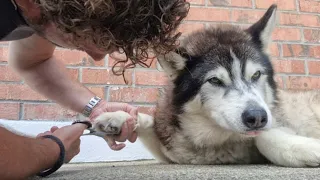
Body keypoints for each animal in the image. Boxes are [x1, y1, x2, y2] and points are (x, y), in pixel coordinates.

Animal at [92, 4, 320, 167]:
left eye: (256, 74)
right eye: (215, 81)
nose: (257, 117)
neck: (216, 141)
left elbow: (265, 137)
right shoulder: (172, 147)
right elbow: (149, 122)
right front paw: (117, 118)